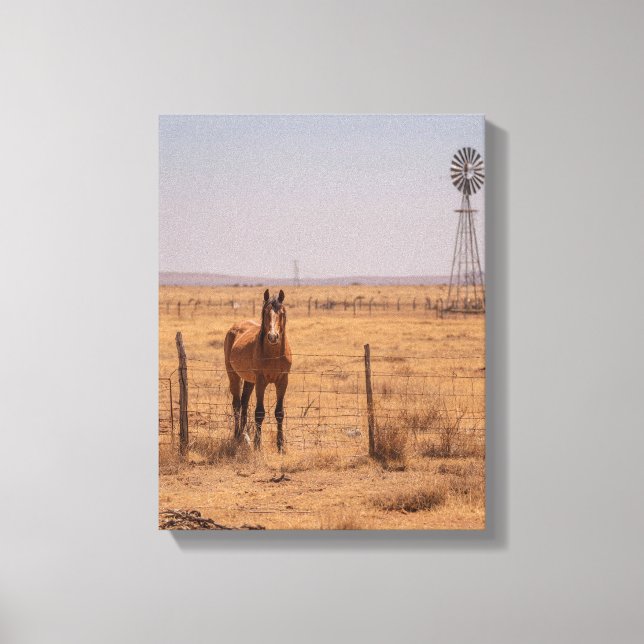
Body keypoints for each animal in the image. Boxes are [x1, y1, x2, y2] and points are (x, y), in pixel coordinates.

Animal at [224, 289, 292, 452]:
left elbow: (279, 412)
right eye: (265, 312)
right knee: (236, 404)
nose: (273, 337)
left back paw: (244, 436)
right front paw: (257, 445)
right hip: (233, 376)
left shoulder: (283, 381)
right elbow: (259, 412)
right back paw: (237, 435)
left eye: (282, 312)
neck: (273, 354)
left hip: (249, 380)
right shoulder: (261, 381)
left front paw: (280, 446)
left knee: (244, 403)